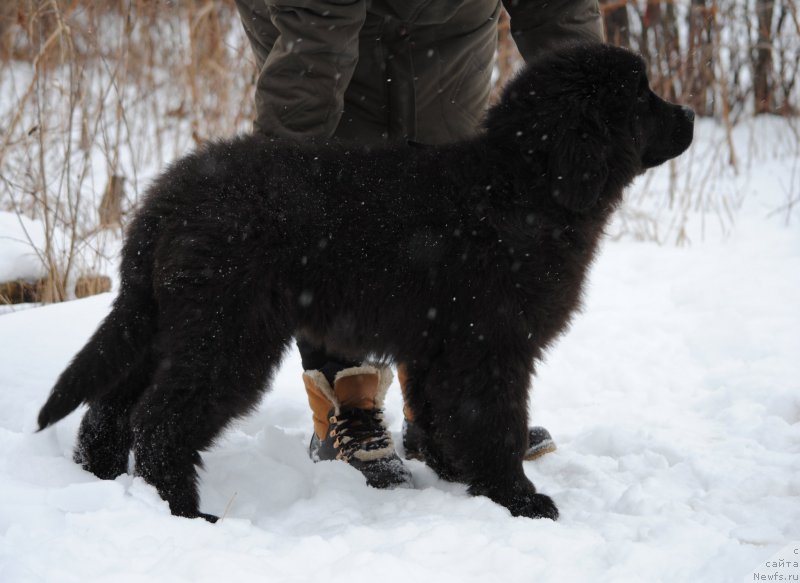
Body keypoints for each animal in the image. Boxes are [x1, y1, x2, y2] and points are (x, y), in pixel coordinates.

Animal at [37, 44, 692, 520]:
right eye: (641, 95)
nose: (688, 115)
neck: (521, 188)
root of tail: (164, 201)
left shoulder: (440, 345)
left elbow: (442, 414)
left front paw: (455, 474)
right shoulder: (492, 345)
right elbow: (494, 424)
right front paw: (520, 500)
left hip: (166, 322)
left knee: (111, 403)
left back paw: (99, 478)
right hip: (225, 333)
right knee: (158, 420)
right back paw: (184, 512)